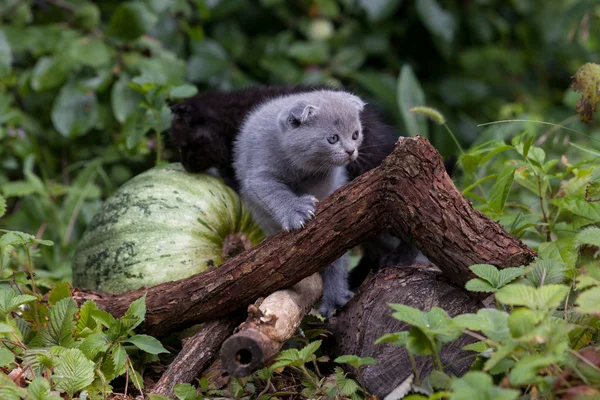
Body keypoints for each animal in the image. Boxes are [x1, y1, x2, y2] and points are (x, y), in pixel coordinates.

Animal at [233, 89, 366, 318]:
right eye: (333, 138)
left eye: (355, 135)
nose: (351, 151)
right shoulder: (260, 172)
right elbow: (275, 192)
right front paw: (296, 211)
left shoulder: (328, 181)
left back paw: (335, 297)